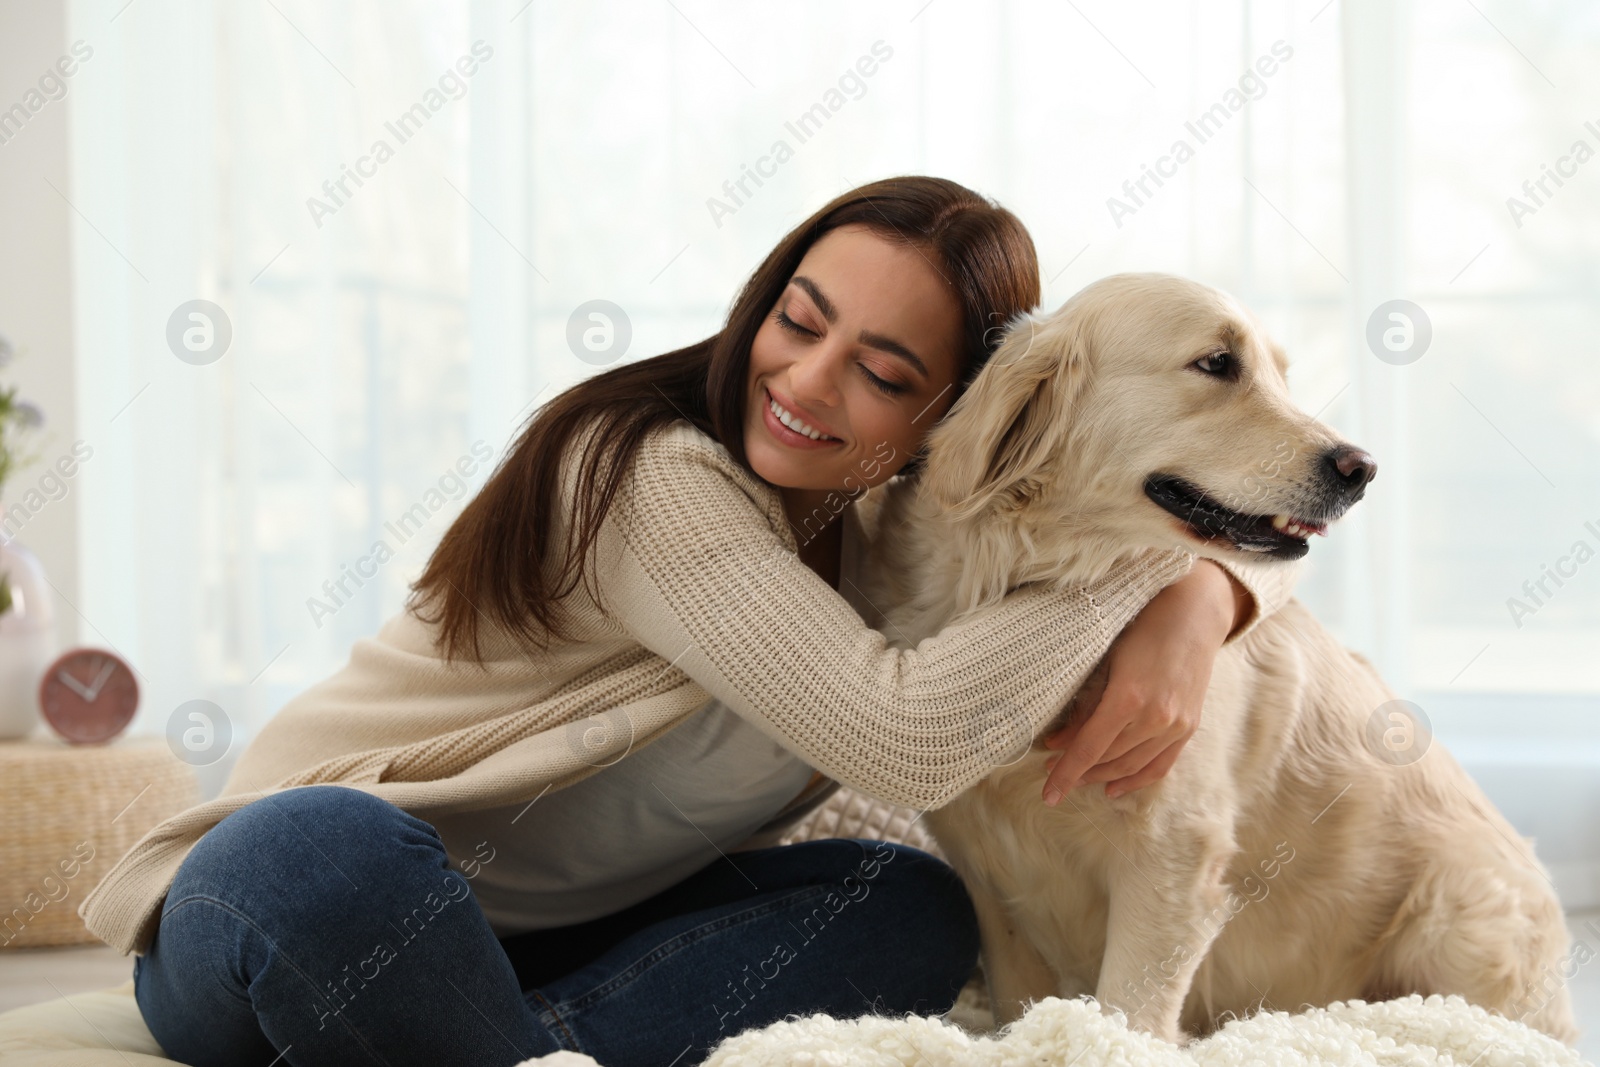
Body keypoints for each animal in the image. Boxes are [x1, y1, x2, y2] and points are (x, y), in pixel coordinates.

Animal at [864, 273, 1574, 1043]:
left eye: (1281, 376)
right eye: (1216, 363)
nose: (1362, 469)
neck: (1040, 580)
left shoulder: (1173, 860)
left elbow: (1125, 1017)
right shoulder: (994, 885)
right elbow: (1019, 1011)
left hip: (1457, 915)